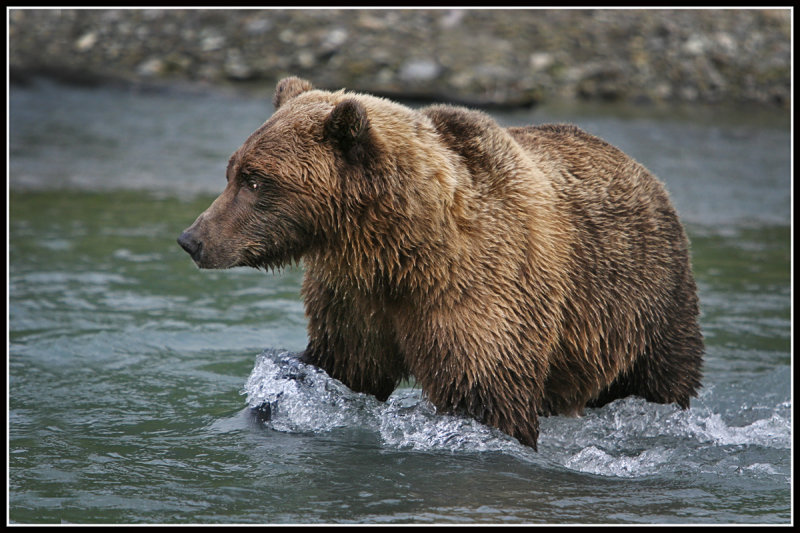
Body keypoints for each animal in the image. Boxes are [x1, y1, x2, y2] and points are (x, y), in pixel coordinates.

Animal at [178, 76, 704, 448]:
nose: (192, 239)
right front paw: (256, 410)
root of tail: (642, 170)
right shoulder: (354, 297)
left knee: (661, 376)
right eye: (232, 172)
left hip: (643, 301)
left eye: (255, 180)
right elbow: (336, 368)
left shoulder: (484, 293)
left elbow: (487, 395)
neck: (398, 247)